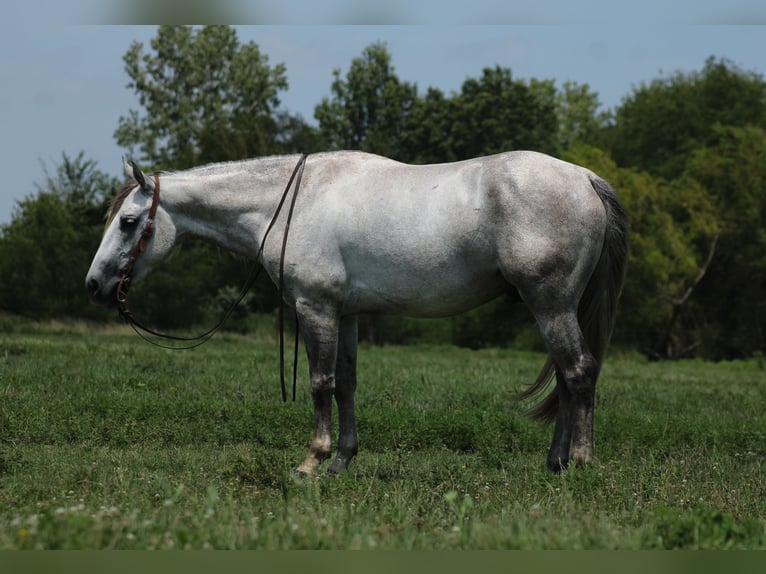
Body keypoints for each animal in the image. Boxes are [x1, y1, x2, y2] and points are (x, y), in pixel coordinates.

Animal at [85, 150, 627, 475]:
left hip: (550, 304)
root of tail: (585, 178)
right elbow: (345, 384)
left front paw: (311, 462)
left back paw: (579, 462)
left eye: (129, 222)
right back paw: (555, 462)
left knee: (579, 373)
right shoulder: (345, 315)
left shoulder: (316, 308)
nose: (95, 285)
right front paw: (342, 461)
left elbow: (320, 384)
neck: (293, 202)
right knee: (568, 378)